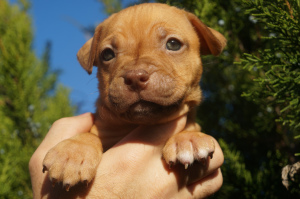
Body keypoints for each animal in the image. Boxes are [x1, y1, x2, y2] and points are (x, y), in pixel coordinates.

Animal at [41, 2, 225, 190]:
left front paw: (187, 138)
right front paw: (72, 151)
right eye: (107, 54)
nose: (135, 77)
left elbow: (191, 126)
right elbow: (90, 134)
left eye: (173, 44)